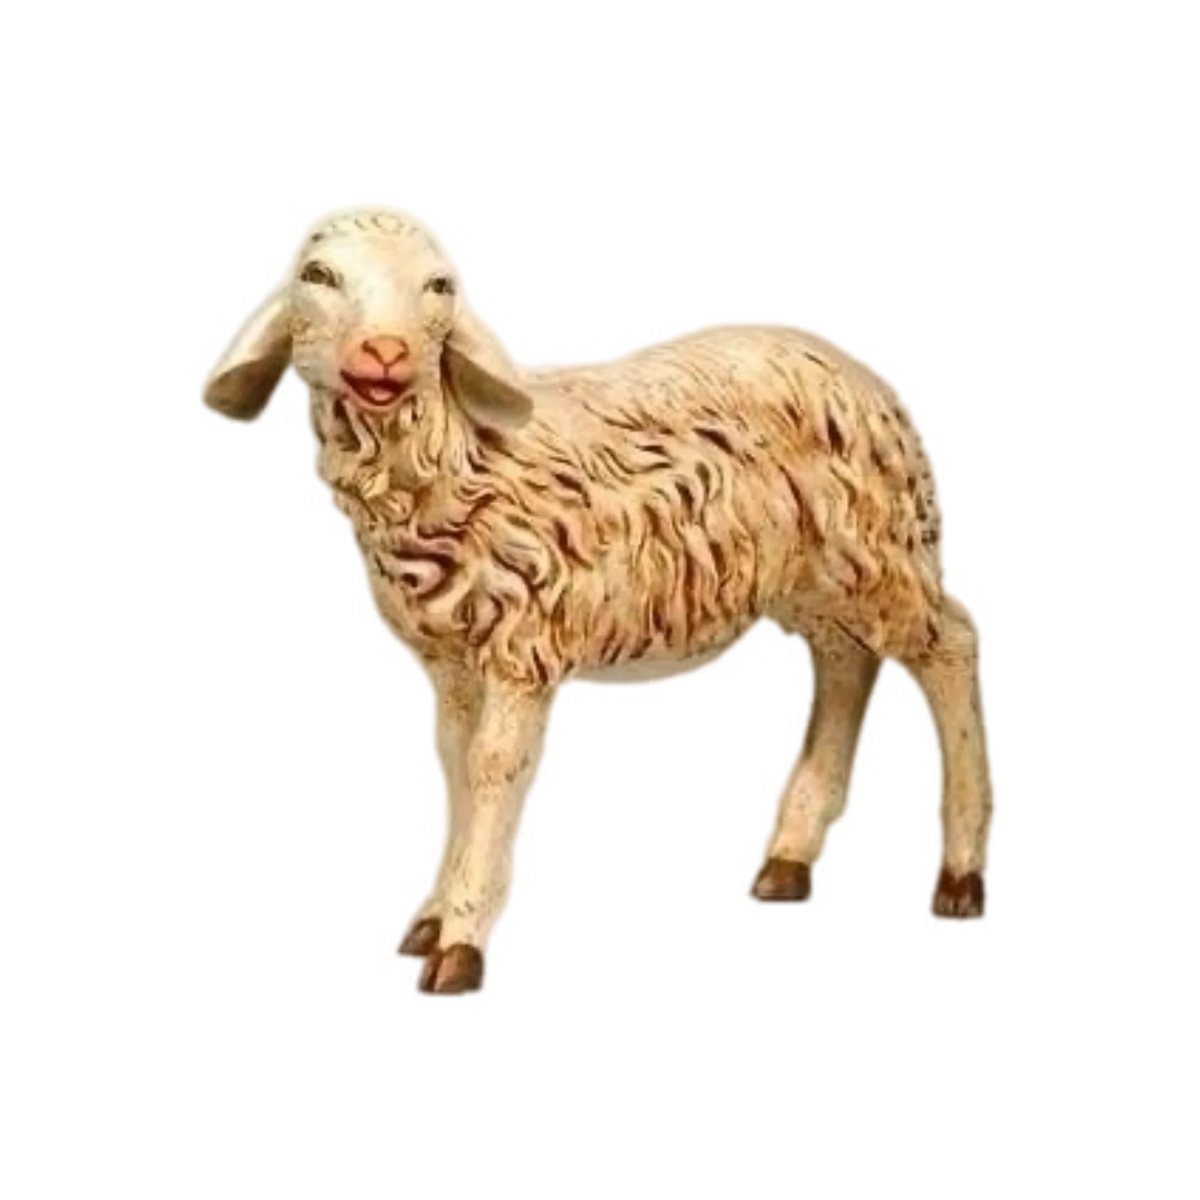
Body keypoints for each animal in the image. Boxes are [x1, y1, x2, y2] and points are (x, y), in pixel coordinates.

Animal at [196, 199, 1000, 1000]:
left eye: (439, 286)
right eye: (319, 276)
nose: (385, 354)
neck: (456, 456)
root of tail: (867, 377)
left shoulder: (523, 642)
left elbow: (492, 767)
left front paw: (460, 941)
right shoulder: (449, 657)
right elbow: (452, 764)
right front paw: (428, 919)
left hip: (879, 546)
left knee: (950, 651)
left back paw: (961, 877)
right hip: (816, 577)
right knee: (844, 668)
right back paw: (788, 862)